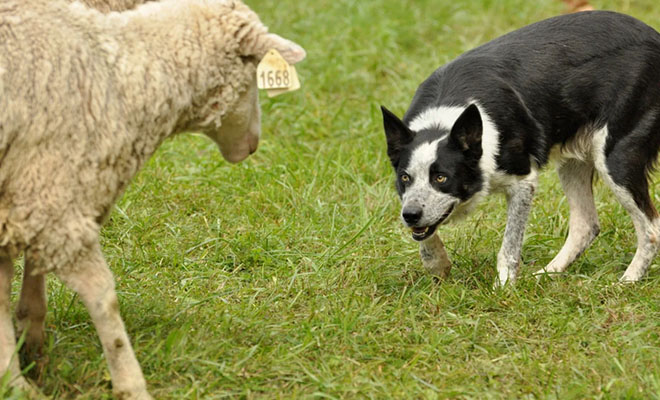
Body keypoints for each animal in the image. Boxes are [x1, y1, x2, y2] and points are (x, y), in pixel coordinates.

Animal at [0, 0, 304, 396]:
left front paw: (15, 370)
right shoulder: (50, 198)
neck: (118, 76)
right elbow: (102, 297)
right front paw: (130, 384)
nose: (253, 145)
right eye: (253, 70)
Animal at [382, 10, 660, 286]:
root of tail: (653, 36)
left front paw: (504, 288)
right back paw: (548, 273)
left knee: (651, 228)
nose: (410, 215)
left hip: (615, 158)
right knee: (586, 225)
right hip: (572, 161)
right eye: (404, 178)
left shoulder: (523, 182)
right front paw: (437, 264)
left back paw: (628, 280)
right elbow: (425, 235)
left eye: (441, 178)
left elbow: (509, 247)